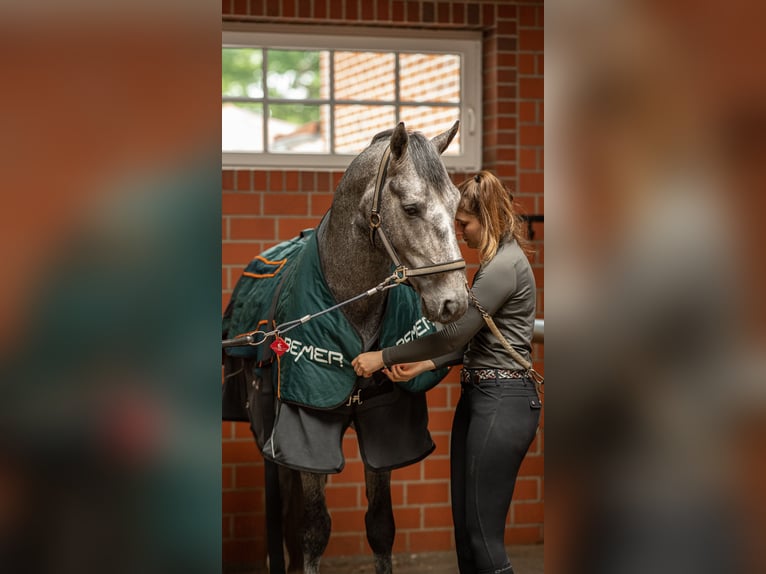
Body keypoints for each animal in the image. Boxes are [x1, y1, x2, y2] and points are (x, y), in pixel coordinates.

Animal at [226, 121, 468, 573]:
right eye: (411, 208)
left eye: (457, 203)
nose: (455, 302)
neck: (350, 301)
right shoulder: (307, 428)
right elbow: (314, 530)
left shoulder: (387, 423)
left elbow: (381, 526)